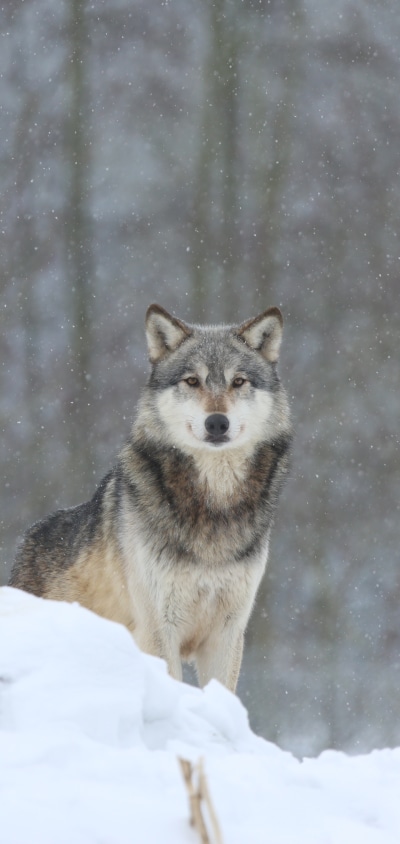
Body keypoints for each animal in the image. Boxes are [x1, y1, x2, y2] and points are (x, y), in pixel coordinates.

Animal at [10, 304, 292, 692]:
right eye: (192, 381)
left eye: (238, 382)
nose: (217, 423)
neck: (213, 505)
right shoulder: (159, 628)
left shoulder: (227, 633)